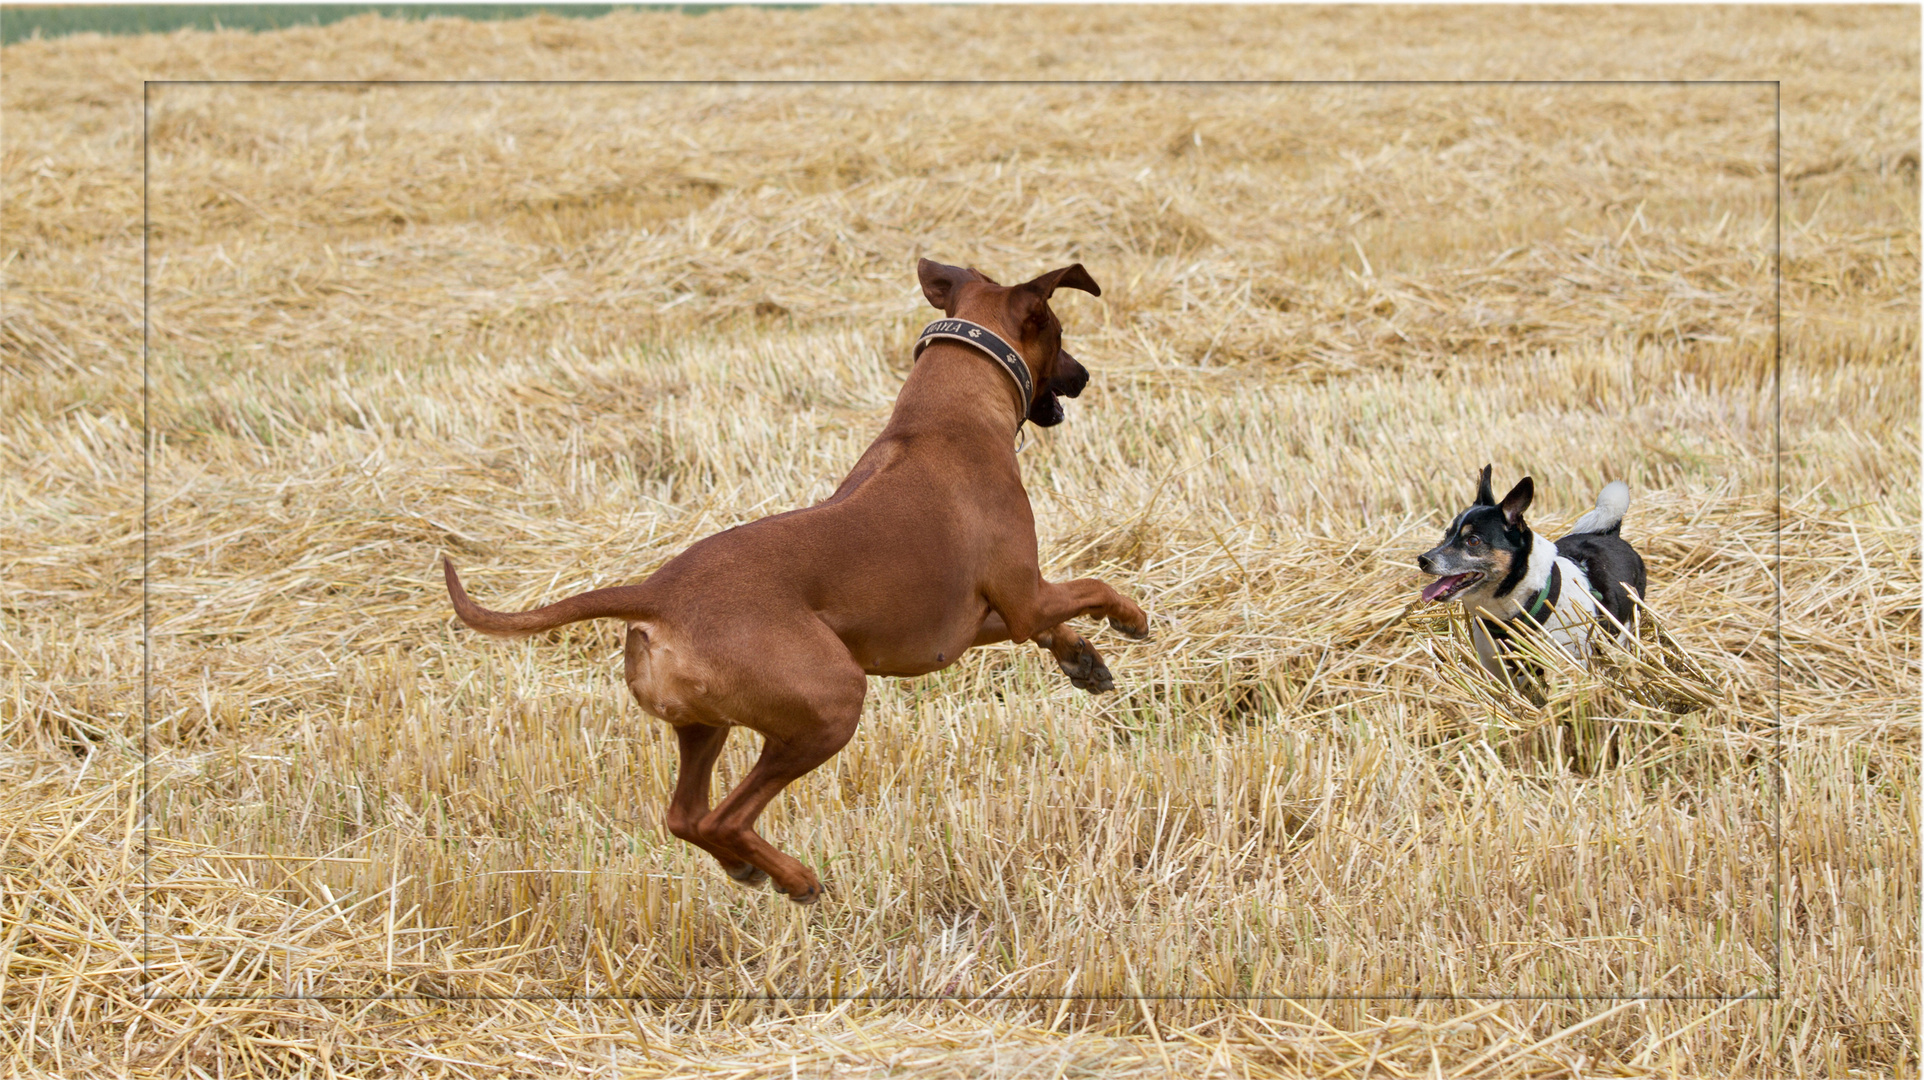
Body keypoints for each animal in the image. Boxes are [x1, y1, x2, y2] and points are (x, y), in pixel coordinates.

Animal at [446, 261, 1139, 900]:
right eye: (1058, 332)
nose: (1082, 375)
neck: (946, 415)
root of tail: (657, 596)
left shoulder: (982, 620)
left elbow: (1054, 628)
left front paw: (1083, 657)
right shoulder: (1025, 596)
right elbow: (1094, 586)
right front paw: (1129, 618)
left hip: (704, 725)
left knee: (684, 816)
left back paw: (747, 866)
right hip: (830, 702)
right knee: (724, 816)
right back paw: (796, 877)